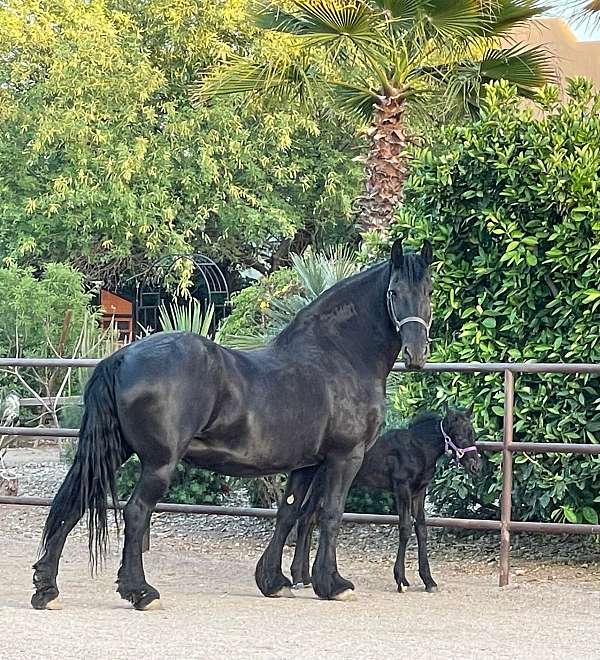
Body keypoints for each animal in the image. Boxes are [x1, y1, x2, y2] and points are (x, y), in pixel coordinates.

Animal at [31, 239, 433, 611]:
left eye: (428, 291)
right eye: (394, 292)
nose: (416, 355)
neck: (337, 357)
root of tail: (123, 355)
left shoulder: (306, 464)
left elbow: (288, 512)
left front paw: (273, 580)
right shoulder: (344, 457)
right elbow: (331, 515)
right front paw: (332, 584)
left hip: (111, 451)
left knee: (72, 504)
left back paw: (47, 589)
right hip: (158, 463)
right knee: (136, 512)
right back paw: (141, 592)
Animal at [289, 408, 481, 593]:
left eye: (472, 433)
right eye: (459, 435)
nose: (476, 466)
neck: (418, 448)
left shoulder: (419, 492)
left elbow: (421, 529)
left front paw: (429, 581)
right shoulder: (402, 488)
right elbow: (405, 528)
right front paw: (401, 580)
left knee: (309, 520)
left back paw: (306, 577)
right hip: (320, 485)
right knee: (305, 519)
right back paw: (298, 577)